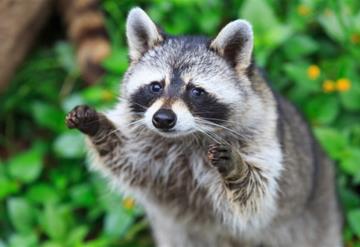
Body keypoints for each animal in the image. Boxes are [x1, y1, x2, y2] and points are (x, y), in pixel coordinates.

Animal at [65, 7, 344, 247]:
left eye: (196, 91)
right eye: (156, 86)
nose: (162, 119)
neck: (187, 136)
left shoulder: (261, 132)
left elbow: (257, 197)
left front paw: (237, 169)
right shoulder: (148, 145)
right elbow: (125, 157)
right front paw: (97, 125)